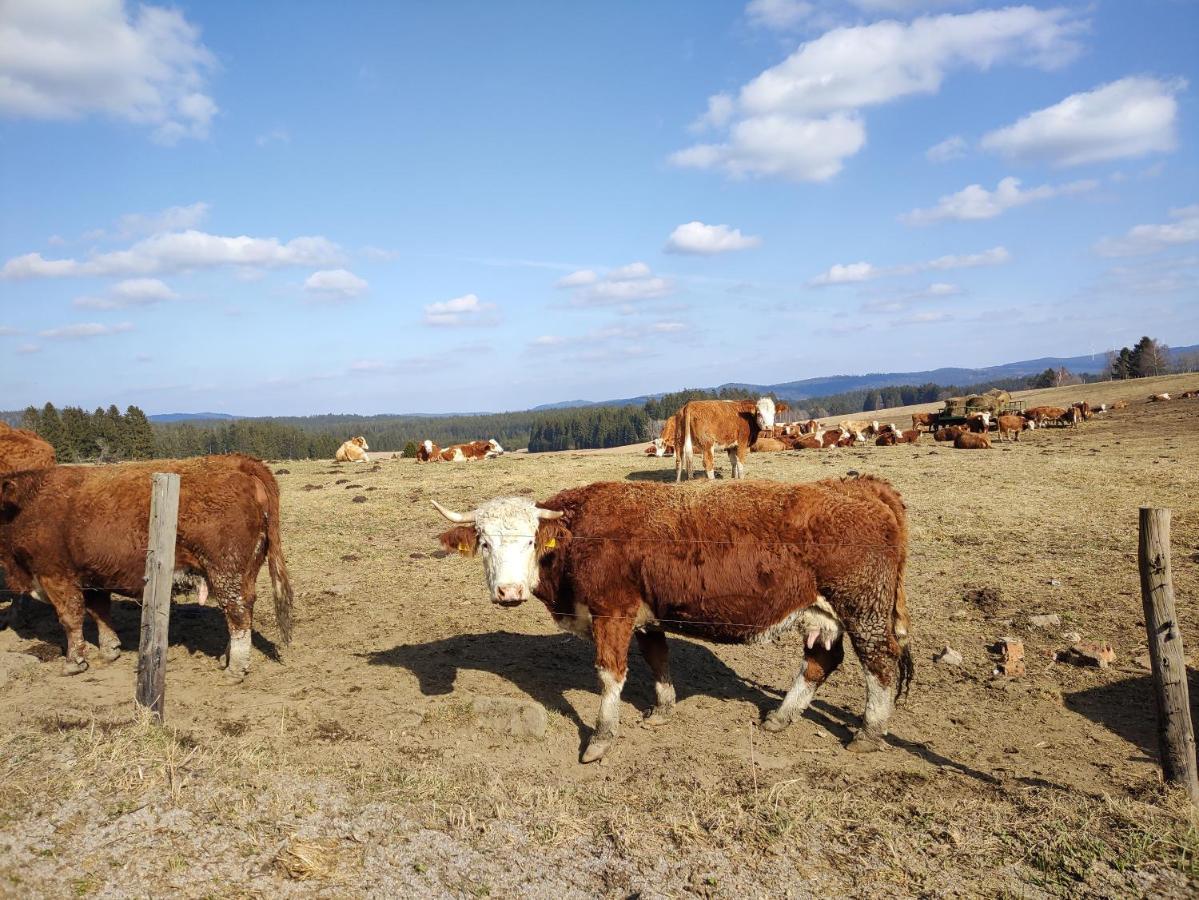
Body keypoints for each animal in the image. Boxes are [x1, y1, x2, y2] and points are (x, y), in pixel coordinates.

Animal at [0, 452, 293, 680]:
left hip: (225, 571)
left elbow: (70, 618)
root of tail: (237, 461)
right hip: (245, 571)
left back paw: (236, 668)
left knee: (237, 612)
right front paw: (109, 650)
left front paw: (74, 662)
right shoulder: (93, 576)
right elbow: (99, 612)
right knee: (244, 607)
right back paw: (227, 658)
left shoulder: (55, 575)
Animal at [436, 474, 911, 762]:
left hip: (863, 609)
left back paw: (869, 732)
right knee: (821, 661)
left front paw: (602, 738)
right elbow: (657, 659)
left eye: (532, 540)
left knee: (880, 665)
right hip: (823, 613)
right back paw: (780, 717)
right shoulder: (648, 615)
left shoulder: (612, 613)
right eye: (484, 542)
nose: (508, 592)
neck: (579, 535)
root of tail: (858, 486)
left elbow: (610, 675)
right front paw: (663, 710)